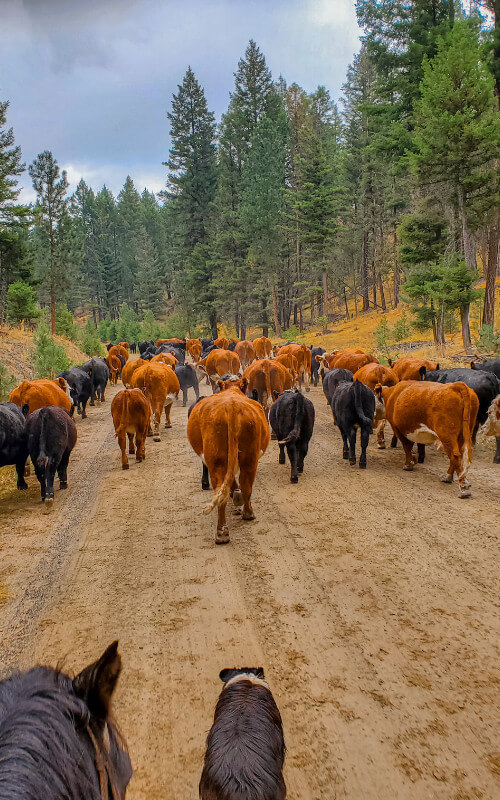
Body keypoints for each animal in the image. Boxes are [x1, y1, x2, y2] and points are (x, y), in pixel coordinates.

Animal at [187, 376, 270, 544]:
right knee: (244, 486)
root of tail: (232, 407)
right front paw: (237, 497)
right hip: (249, 458)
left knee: (224, 490)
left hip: (219, 460)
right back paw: (243, 516)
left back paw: (223, 530)